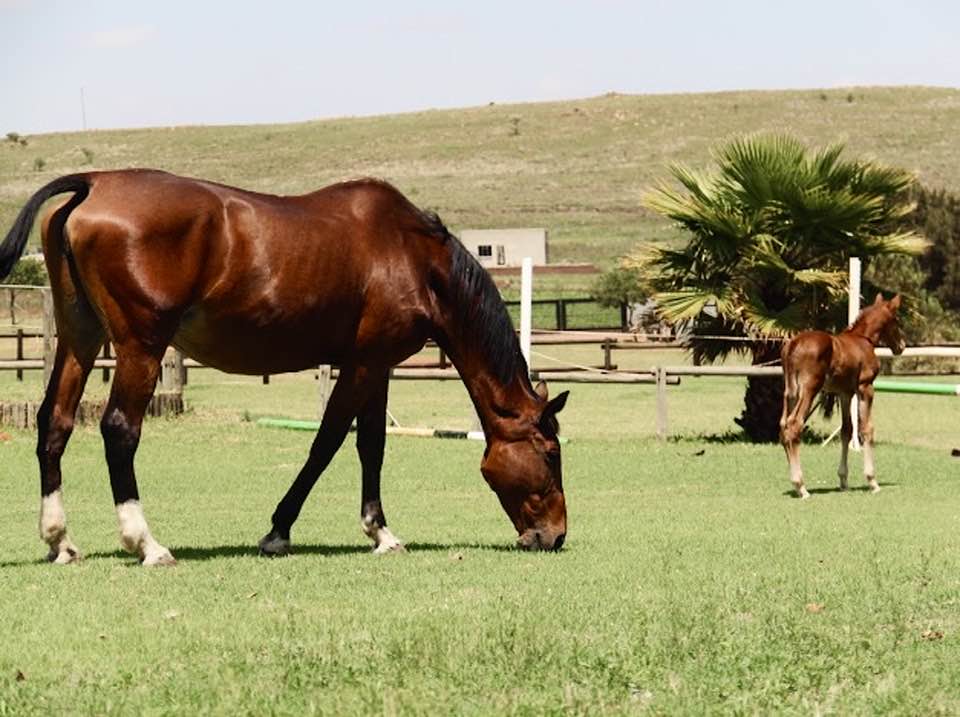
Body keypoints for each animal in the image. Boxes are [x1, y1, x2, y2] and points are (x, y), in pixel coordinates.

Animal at [0, 170, 569, 565]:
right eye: (551, 452)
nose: (556, 535)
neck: (413, 255)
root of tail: (95, 183)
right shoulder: (363, 366)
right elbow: (328, 443)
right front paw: (280, 531)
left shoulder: (377, 366)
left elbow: (371, 446)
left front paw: (380, 532)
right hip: (141, 346)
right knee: (119, 430)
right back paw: (146, 543)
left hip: (81, 338)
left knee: (55, 423)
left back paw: (59, 540)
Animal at [779, 293, 905, 499]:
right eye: (896, 320)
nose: (902, 346)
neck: (863, 339)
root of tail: (793, 345)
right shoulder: (865, 387)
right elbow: (866, 428)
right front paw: (872, 481)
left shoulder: (844, 393)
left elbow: (847, 429)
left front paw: (843, 480)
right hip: (809, 388)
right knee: (794, 424)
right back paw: (801, 486)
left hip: (790, 391)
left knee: (783, 426)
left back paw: (796, 484)